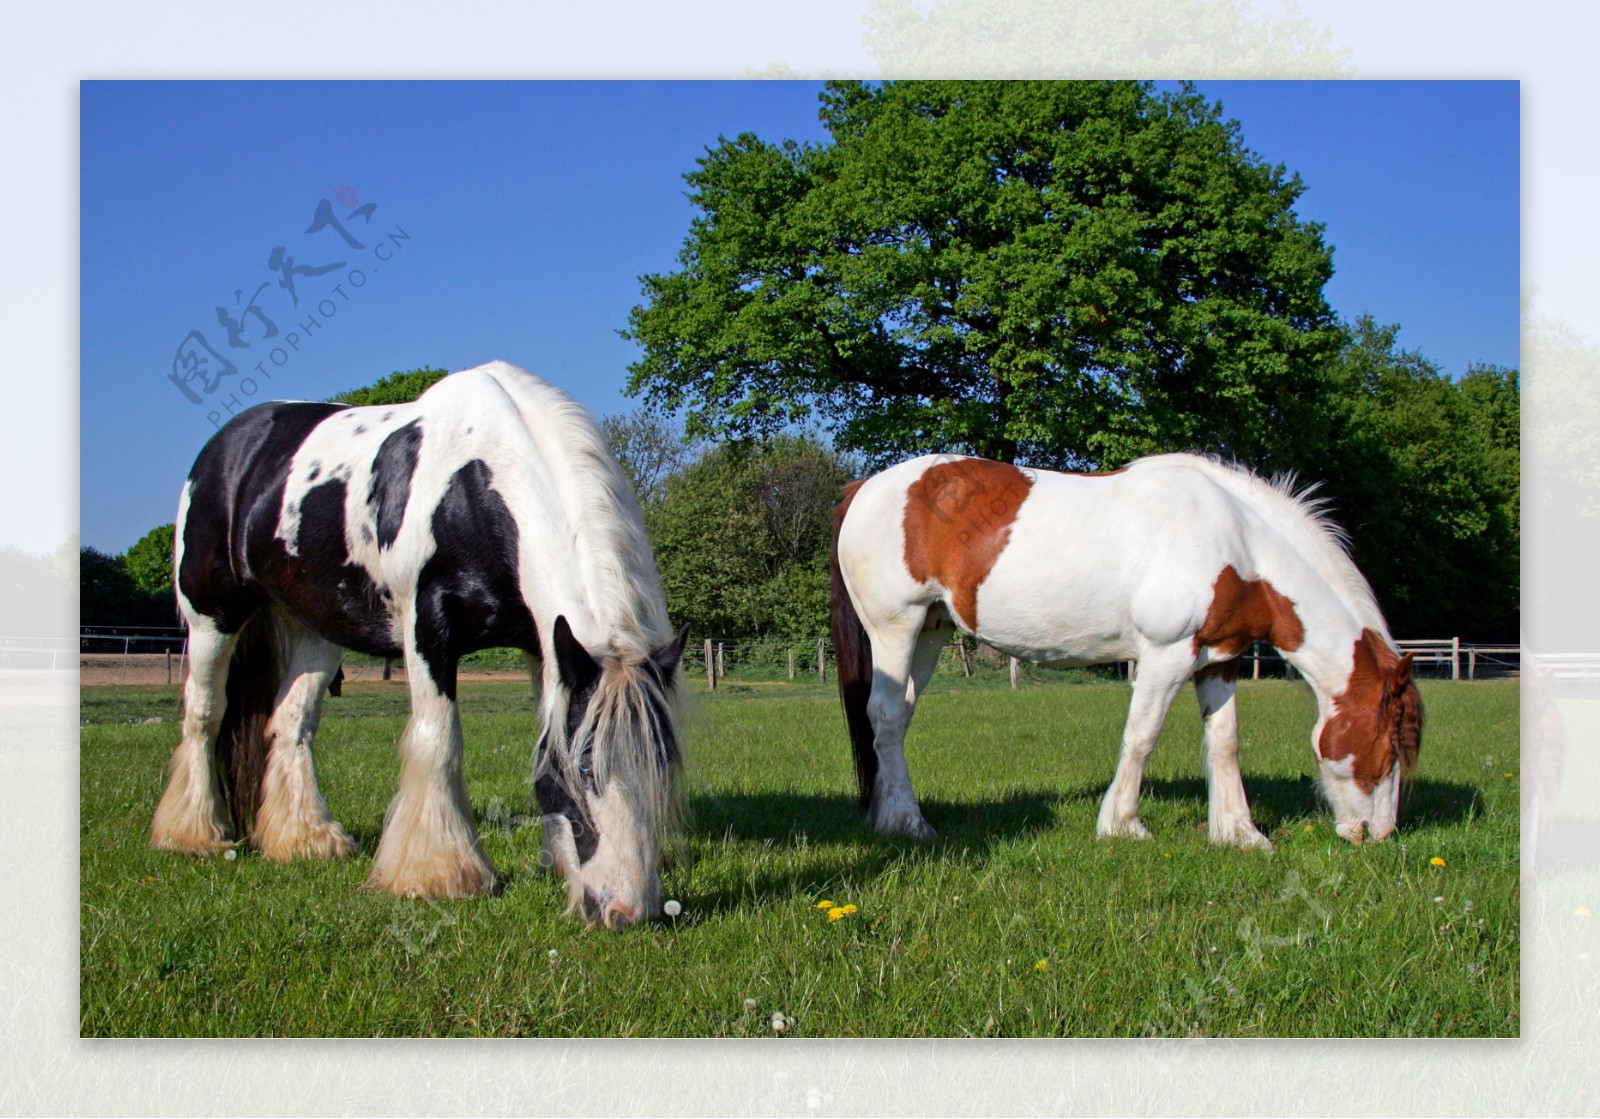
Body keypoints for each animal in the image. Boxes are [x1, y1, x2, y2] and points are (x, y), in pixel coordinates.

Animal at [151, 361, 694, 928]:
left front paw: (554, 862)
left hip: (314, 631)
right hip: (211, 615)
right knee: (204, 713)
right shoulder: (427, 632)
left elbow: (544, 743)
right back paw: (193, 834)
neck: (475, 485)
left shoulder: (544, 645)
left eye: (661, 761)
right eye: (587, 768)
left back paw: (307, 839)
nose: (628, 910)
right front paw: (438, 873)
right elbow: (439, 739)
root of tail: (229, 444)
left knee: (291, 723)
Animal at [832, 454, 1420, 851]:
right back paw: (909, 823)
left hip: (931, 632)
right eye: (1390, 747)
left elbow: (1225, 743)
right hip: (897, 627)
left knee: (897, 720)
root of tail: (865, 486)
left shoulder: (1222, 660)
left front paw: (1238, 833)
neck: (1235, 543)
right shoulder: (1166, 655)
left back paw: (886, 815)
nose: (1377, 833)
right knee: (885, 716)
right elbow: (1142, 736)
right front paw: (1123, 825)